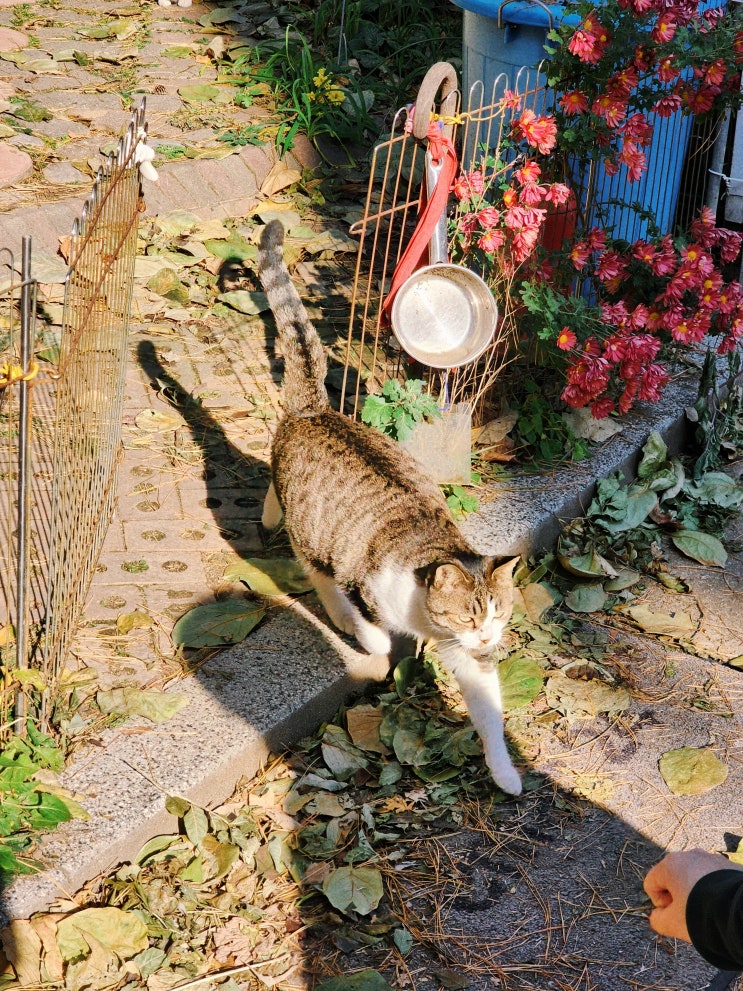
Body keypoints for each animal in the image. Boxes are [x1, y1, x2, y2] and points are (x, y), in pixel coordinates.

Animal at [258, 219, 524, 800]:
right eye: (470, 614)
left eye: (499, 613)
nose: (489, 636)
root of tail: (315, 410)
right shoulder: (366, 579)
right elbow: (371, 621)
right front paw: (378, 647)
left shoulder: (466, 655)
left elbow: (489, 712)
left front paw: (506, 772)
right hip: (314, 534)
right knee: (315, 567)